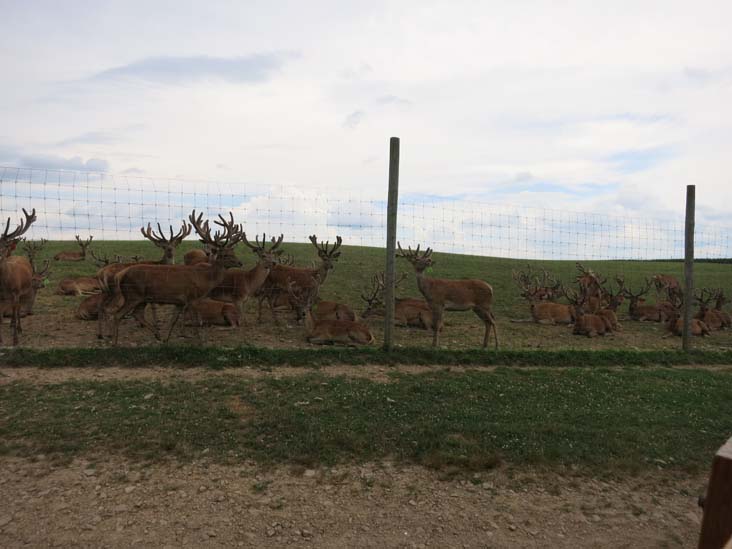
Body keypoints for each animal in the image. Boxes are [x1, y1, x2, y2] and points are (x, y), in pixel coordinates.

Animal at [0, 208, 37, 345]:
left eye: (5, 246)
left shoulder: (16, 291)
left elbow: (16, 311)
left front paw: (15, 341)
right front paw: (1, 340)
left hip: (21, 292)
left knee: (18, 308)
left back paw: (19, 329)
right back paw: (11, 325)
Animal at [104, 210, 243, 345]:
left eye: (233, 252)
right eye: (225, 255)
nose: (240, 263)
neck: (205, 278)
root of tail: (120, 275)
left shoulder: (179, 302)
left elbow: (173, 320)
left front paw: (166, 339)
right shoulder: (191, 298)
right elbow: (196, 322)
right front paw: (200, 342)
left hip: (142, 298)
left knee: (137, 314)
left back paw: (157, 335)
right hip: (133, 295)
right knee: (117, 314)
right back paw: (114, 342)